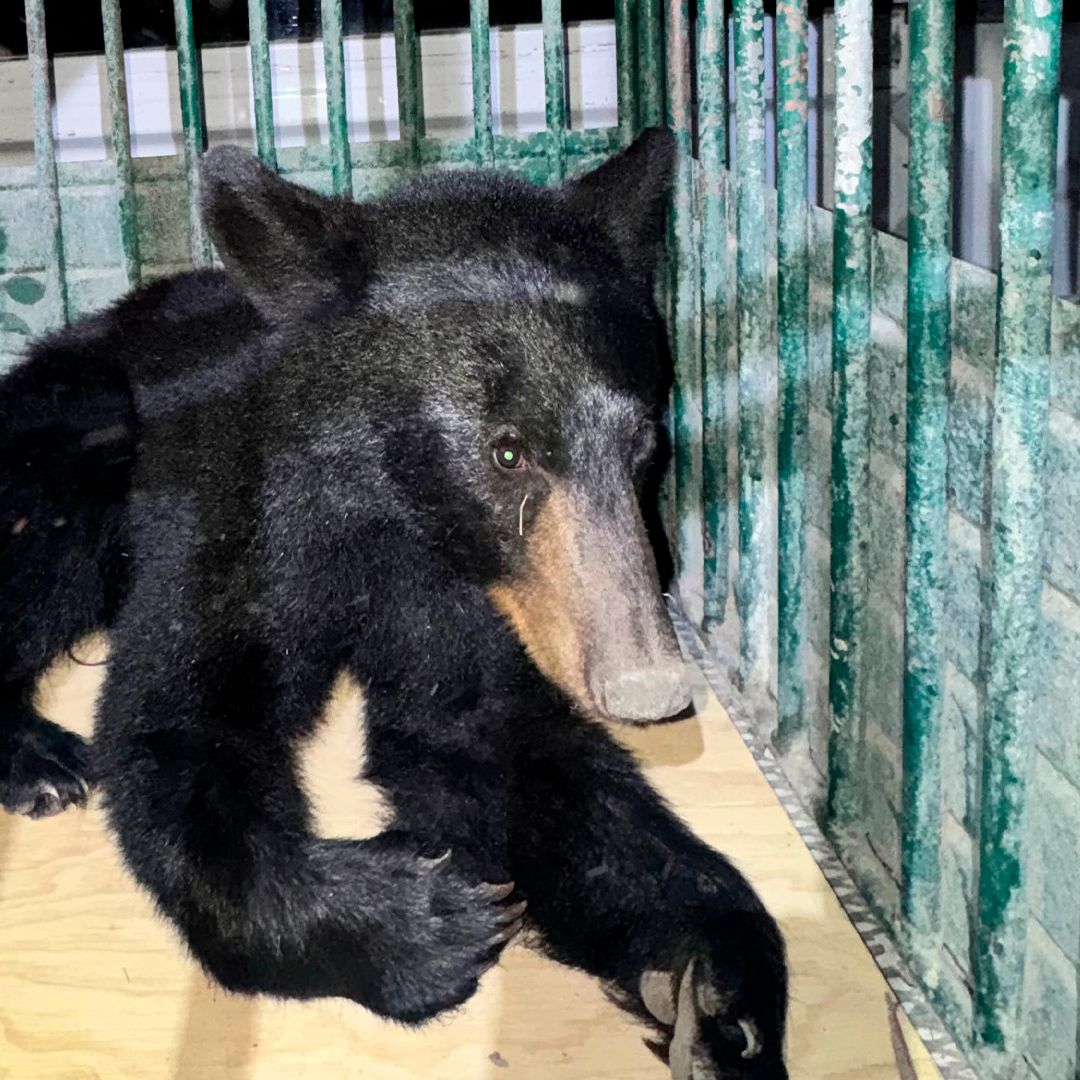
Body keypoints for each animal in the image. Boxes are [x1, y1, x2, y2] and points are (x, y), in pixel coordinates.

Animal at [0, 129, 788, 1078]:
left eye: (644, 442)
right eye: (508, 451)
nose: (650, 687)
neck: (391, 515)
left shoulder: (472, 595)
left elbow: (486, 738)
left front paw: (715, 985)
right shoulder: (241, 521)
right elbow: (177, 724)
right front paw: (426, 920)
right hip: (78, 429)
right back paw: (36, 759)